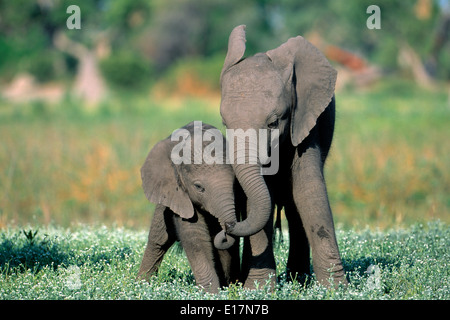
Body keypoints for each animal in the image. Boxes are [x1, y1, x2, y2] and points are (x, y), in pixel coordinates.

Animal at [137, 121, 243, 294]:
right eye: (198, 187)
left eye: (235, 183)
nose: (226, 229)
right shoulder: (179, 194)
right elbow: (195, 236)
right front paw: (211, 294)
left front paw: (226, 290)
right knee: (159, 239)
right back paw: (141, 286)